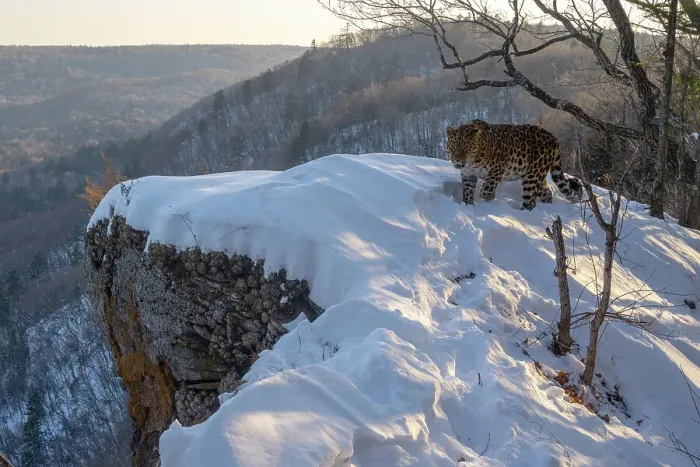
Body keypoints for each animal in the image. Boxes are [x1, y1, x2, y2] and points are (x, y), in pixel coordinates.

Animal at [445, 119, 583, 210]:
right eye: (453, 146)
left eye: (466, 148)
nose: (456, 160)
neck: (471, 162)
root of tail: (554, 138)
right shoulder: (468, 175)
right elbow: (467, 192)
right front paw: (468, 205)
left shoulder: (496, 170)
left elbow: (485, 189)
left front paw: (490, 198)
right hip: (538, 175)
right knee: (547, 192)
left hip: (532, 177)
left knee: (530, 200)